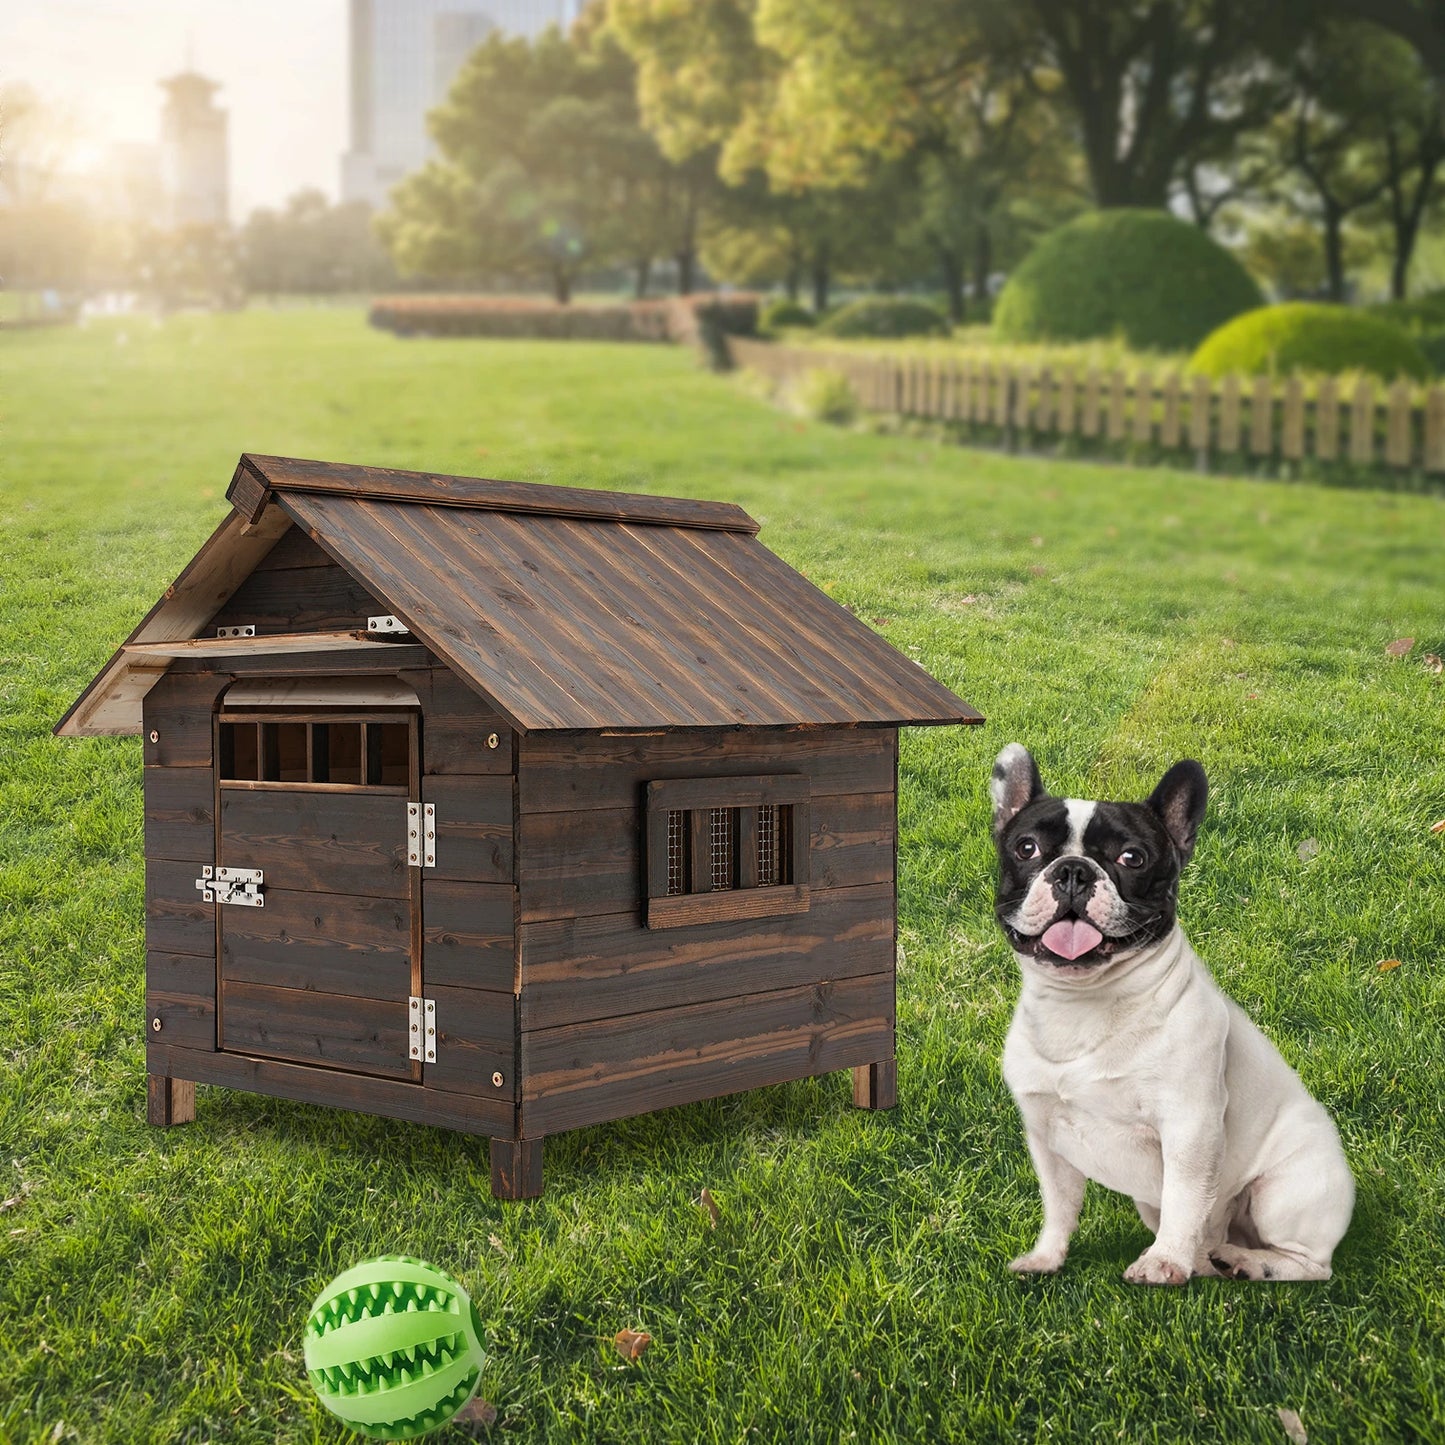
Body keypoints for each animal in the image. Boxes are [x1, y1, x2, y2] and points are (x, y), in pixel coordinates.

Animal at [988, 745, 1346, 1288]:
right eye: (1026, 848)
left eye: (1132, 857)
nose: (1073, 871)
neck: (1085, 1002)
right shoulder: (1047, 1137)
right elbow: (1059, 1206)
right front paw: (1047, 1257)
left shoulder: (1190, 1126)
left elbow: (1183, 1196)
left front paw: (1162, 1263)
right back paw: (1208, 1260)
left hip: (1283, 1191)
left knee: (1310, 1264)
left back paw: (1247, 1261)